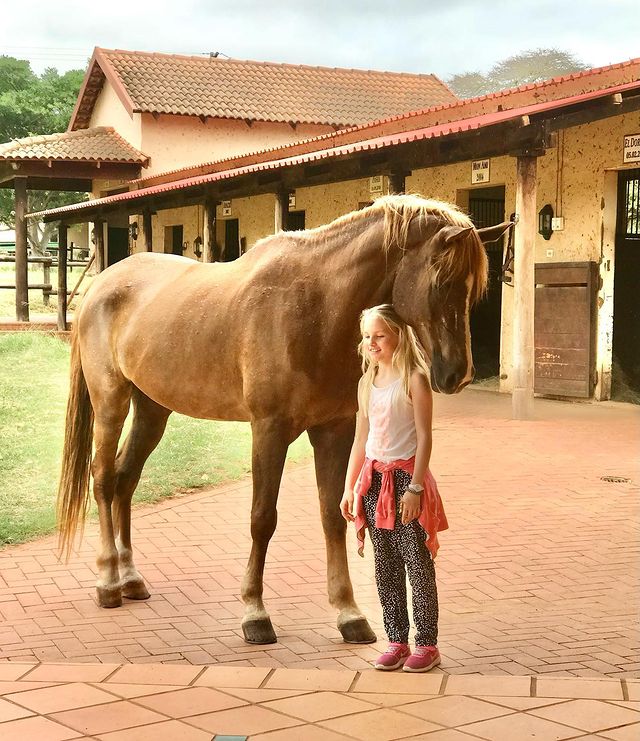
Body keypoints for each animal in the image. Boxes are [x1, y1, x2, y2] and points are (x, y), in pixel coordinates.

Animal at [57, 193, 510, 645]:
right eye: (442, 283)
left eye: (474, 290)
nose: (458, 374)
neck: (316, 307)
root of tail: (100, 285)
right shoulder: (268, 430)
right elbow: (262, 518)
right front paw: (254, 613)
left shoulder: (334, 430)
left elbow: (333, 516)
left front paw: (349, 613)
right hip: (111, 401)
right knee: (103, 478)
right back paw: (108, 581)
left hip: (153, 410)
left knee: (125, 480)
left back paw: (131, 578)